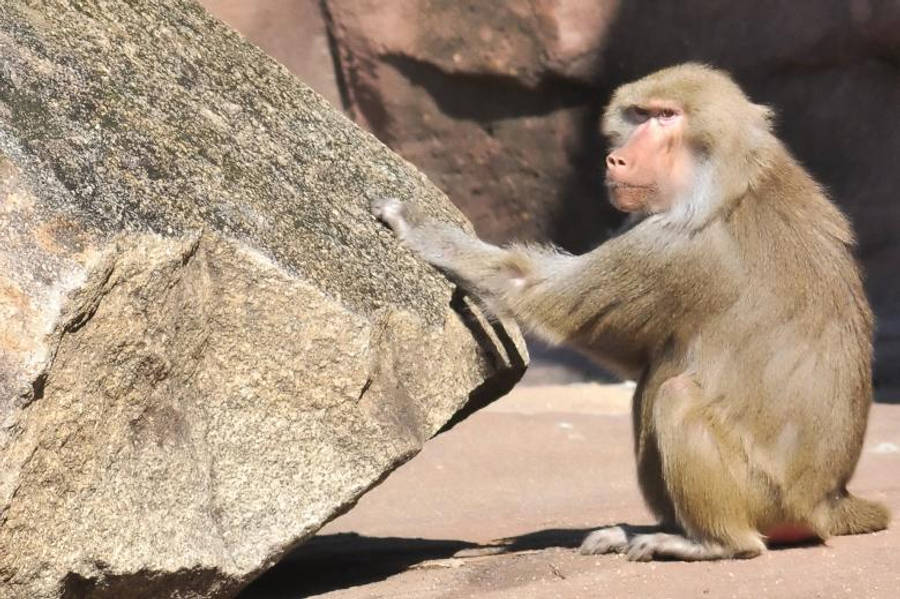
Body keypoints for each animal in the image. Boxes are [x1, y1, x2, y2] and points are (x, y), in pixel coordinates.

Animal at [370, 63, 890, 561]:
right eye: (639, 115)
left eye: (666, 117)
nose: (616, 159)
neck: (733, 177)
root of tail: (827, 501)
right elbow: (634, 353)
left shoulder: (677, 246)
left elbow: (534, 290)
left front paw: (420, 229)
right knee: (653, 380)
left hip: (768, 497)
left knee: (676, 396)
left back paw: (711, 544)